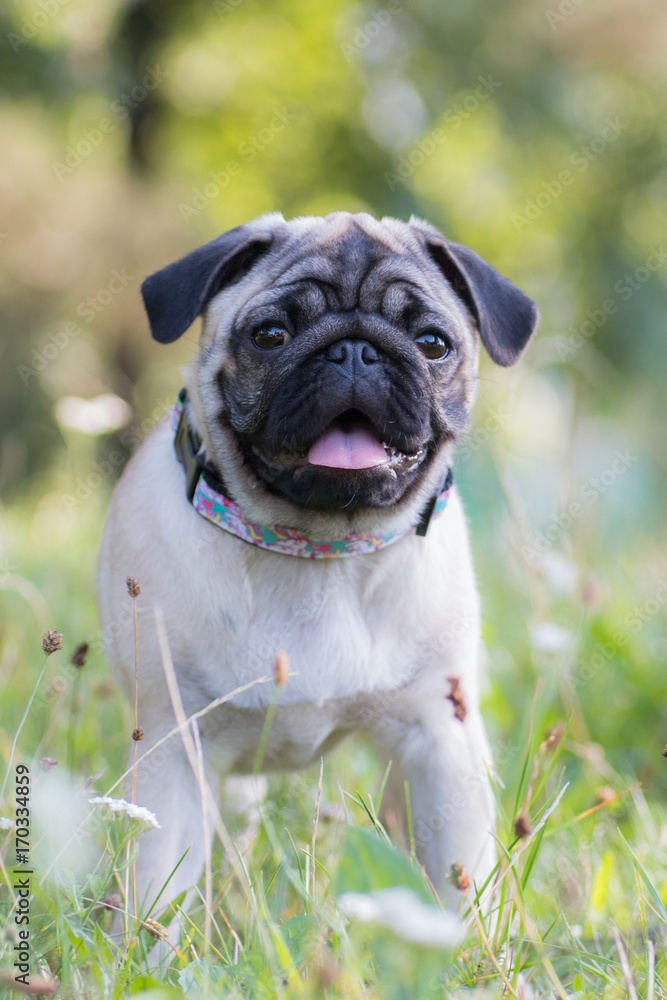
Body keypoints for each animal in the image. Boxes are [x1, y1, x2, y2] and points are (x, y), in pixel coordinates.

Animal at [98, 211, 536, 916]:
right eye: (270, 336)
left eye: (433, 344)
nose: (354, 351)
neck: (318, 548)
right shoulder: (174, 749)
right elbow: (156, 883)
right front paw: (148, 945)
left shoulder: (440, 747)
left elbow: (459, 879)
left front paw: (461, 942)